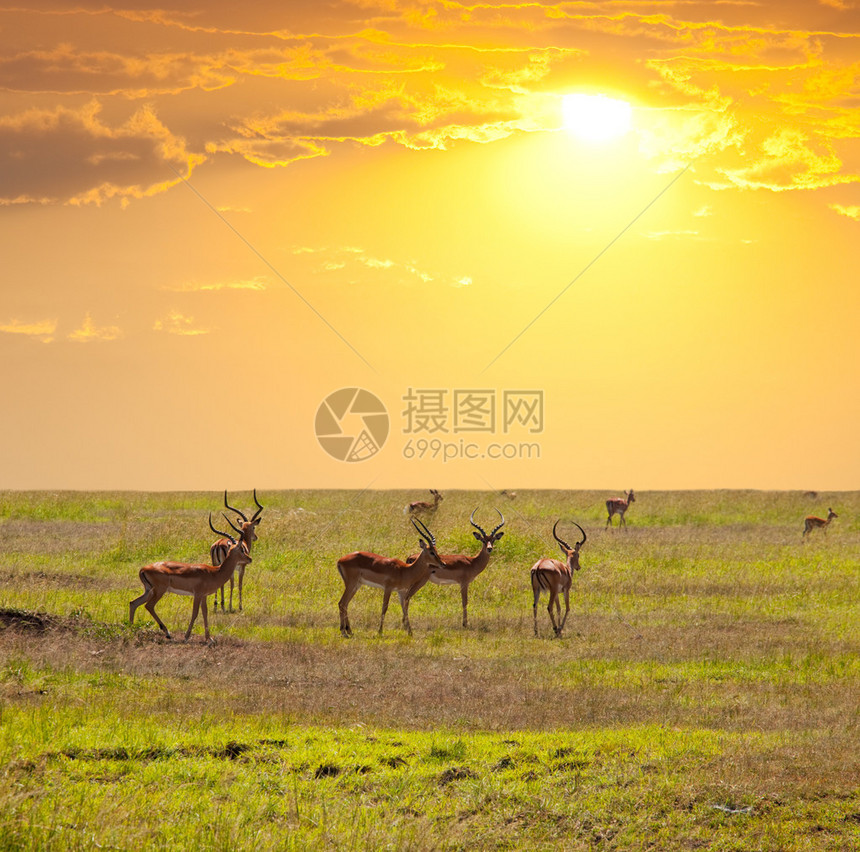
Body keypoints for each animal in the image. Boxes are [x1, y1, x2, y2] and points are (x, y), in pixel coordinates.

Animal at [129, 512, 252, 644]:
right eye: (241, 549)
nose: (249, 559)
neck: (214, 572)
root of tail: (143, 569)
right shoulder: (197, 594)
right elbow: (195, 613)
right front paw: (187, 636)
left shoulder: (203, 596)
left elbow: (205, 613)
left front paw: (209, 638)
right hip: (159, 591)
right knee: (149, 606)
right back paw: (167, 633)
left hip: (149, 590)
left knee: (133, 603)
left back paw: (131, 631)